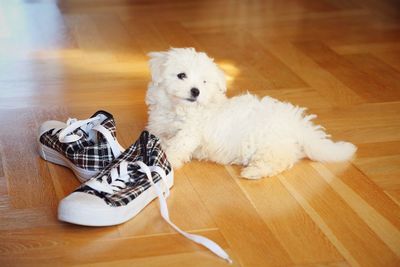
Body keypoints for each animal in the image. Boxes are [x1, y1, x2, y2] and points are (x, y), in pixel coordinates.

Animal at [145, 48, 356, 180]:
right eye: (181, 75)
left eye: (204, 82)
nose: (196, 91)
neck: (178, 110)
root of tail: (297, 125)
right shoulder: (159, 126)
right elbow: (159, 137)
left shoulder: (189, 133)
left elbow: (176, 147)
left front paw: (167, 161)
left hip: (270, 144)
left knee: (278, 160)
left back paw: (253, 172)